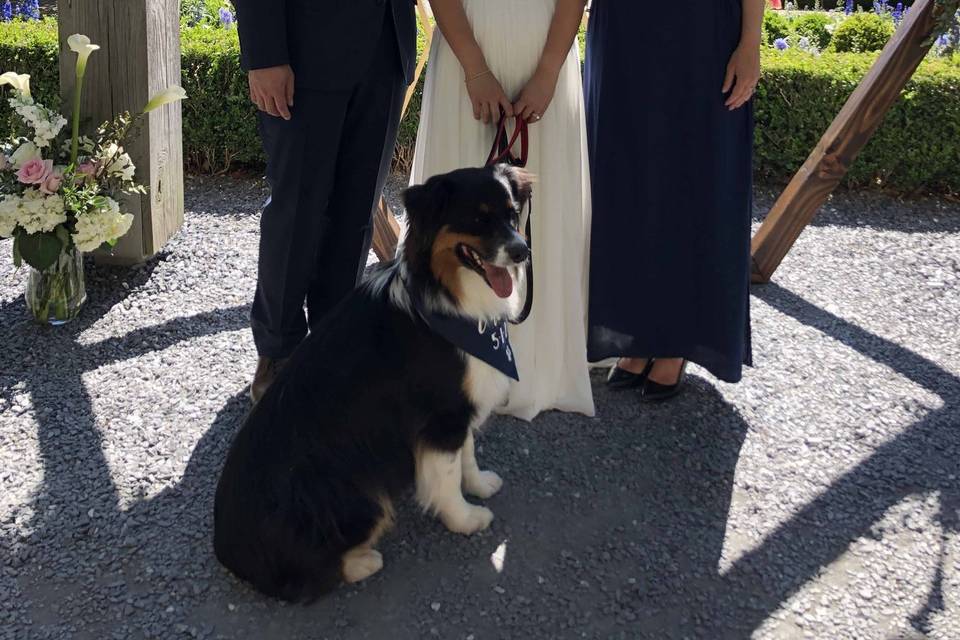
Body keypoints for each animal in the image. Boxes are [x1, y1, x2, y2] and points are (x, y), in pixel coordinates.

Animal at [214, 164, 532, 600]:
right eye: (478, 219)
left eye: (513, 215)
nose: (522, 251)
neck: (445, 298)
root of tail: (230, 552)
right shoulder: (439, 416)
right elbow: (447, 475)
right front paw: (466, 519)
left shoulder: (459, 407)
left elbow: (467, 454)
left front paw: (480, 484)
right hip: (357, 493)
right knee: (304, 580)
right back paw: (365, 561)